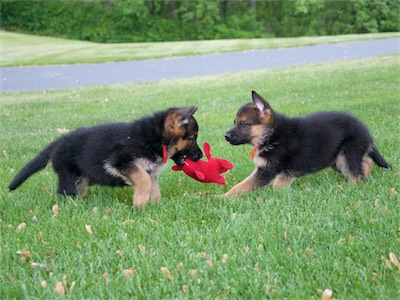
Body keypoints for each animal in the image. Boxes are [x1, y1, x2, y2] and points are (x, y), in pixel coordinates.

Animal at [8, 106, 203, 207]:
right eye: (193, 138)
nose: (200, 156)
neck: (156, 138)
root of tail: (57, 143)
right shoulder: (118, 162)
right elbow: (143, 180)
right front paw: (139, 205)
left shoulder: (151, 171)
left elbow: (153, 188)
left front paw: (154, 206)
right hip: (69, 178)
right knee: (65, 195)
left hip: (82, 179)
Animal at [225, 90, 390, 196]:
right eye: (234, 122)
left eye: (243, 124)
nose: (225, 136)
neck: (272, 135)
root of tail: (365, 130)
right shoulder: (283, 173)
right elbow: (278, 185)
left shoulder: (266, 170)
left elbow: (241, 186)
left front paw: (223, 198)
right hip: (336, 159)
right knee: (366, 161)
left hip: (346, 154)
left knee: (356, 171)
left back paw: (352, 186)